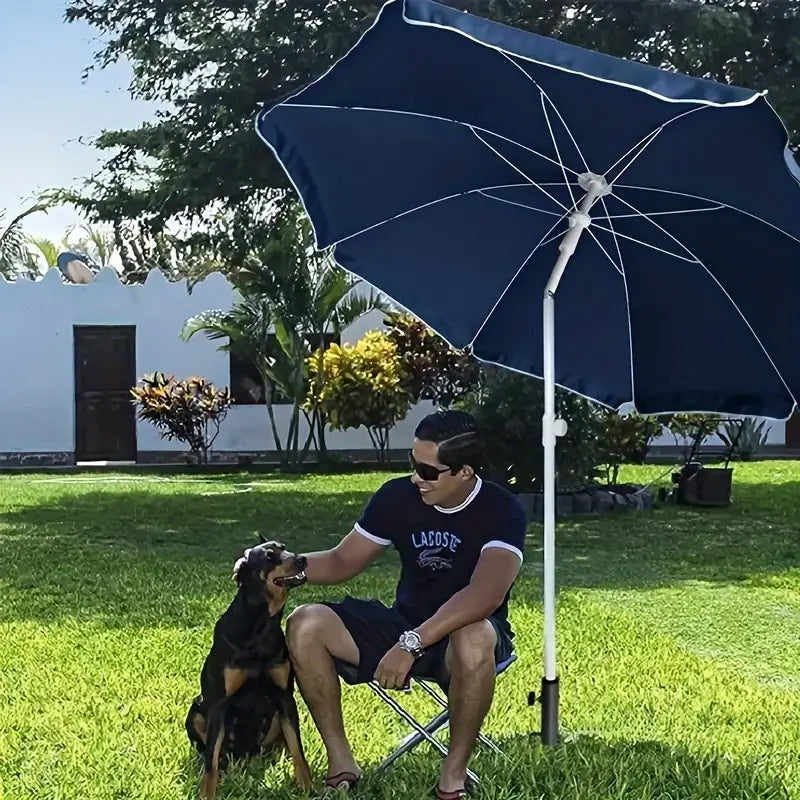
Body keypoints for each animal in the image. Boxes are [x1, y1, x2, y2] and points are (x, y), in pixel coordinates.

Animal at [187, 540, 312, 796]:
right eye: (269, 556)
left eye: (284, 547)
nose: (303, 559)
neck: (261, 622)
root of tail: (244, 755)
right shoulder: (219, 703)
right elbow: (211, 758)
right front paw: (207, 793)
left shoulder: (285, 696)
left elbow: (298, 747)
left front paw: (307, 786)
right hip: (196, 707)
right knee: (209, 750)